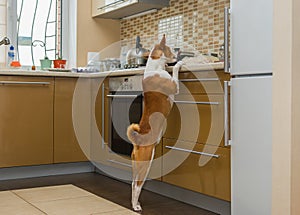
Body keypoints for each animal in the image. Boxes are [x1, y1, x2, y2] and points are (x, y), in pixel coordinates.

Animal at [126, 35, 183, 212]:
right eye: (171, 49)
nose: (179, 52)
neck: (155, 67)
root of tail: (137, 140)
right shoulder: (174, 86)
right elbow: (176, 71)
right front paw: (180, 63)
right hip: (146, 162)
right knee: (137, 185)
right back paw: (136, 207)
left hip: (136, 164)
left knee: (132, 184)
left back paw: (134, 204)